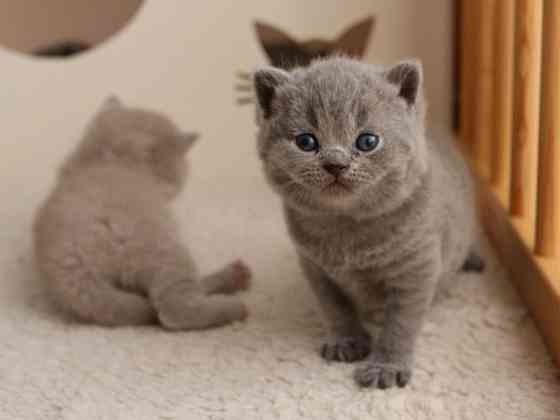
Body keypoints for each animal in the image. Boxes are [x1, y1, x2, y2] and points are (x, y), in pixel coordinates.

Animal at [253, 57, 482, 388]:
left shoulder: (416, 270)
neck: (346, 229)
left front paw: (386, 367)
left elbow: (399, 325)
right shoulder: (316, 269)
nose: (335, 163)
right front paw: (347, 342)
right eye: (306, 141)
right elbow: (336, 309)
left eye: (367, 141)